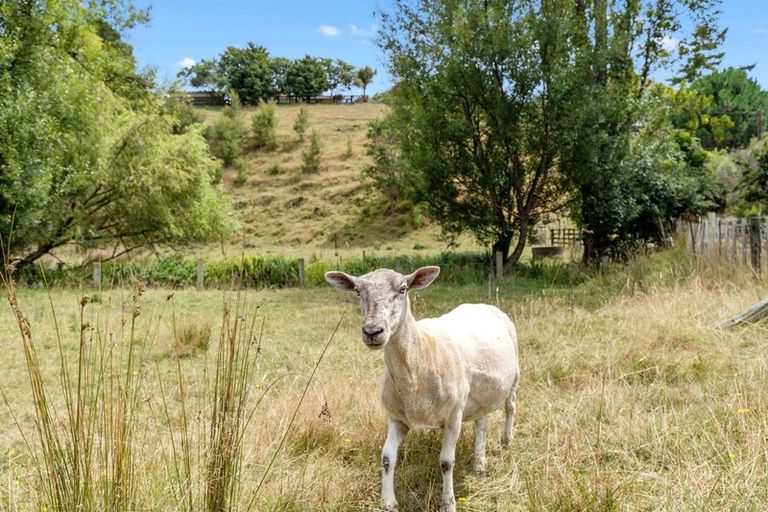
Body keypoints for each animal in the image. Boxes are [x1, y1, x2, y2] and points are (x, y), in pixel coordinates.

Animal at [320, 266, 520, 510]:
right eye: (358, 291)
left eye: (403, 289)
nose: (372, 331)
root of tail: (482, 304)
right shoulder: (396, 418)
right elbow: (387, 458)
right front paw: (387, 502)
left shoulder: (453, 416)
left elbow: (446, 462)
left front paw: (448, 503)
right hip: (478, 394)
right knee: (481, 422)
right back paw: (479, 464)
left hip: (514, 376)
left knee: (510, 407)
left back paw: (506, 442)